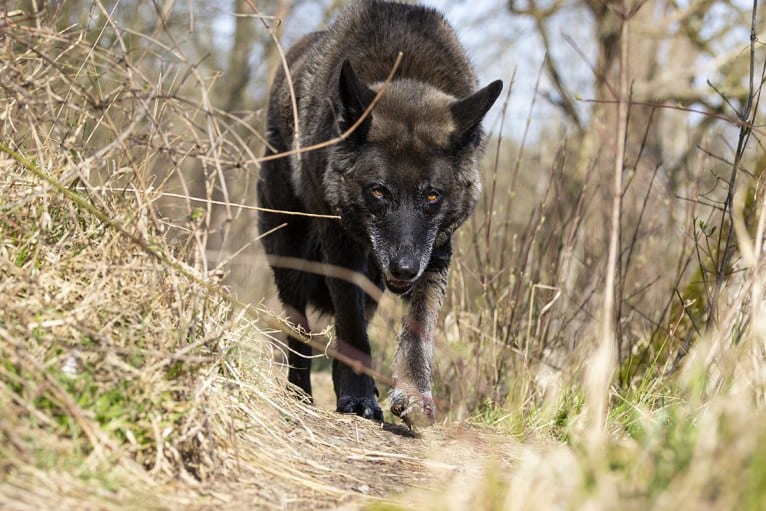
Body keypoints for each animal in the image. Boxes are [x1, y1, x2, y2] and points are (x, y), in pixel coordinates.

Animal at [260, 0, 504, 426]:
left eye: (432, 196)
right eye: (378, 191)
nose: (404, 269)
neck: (406, 67)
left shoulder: (436, 251)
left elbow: (419, 327)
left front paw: (413, 395)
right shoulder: (339, 244)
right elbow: (351, 325)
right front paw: (358, 397)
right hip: (289, 250)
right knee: (299, 330)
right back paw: (299, 394)